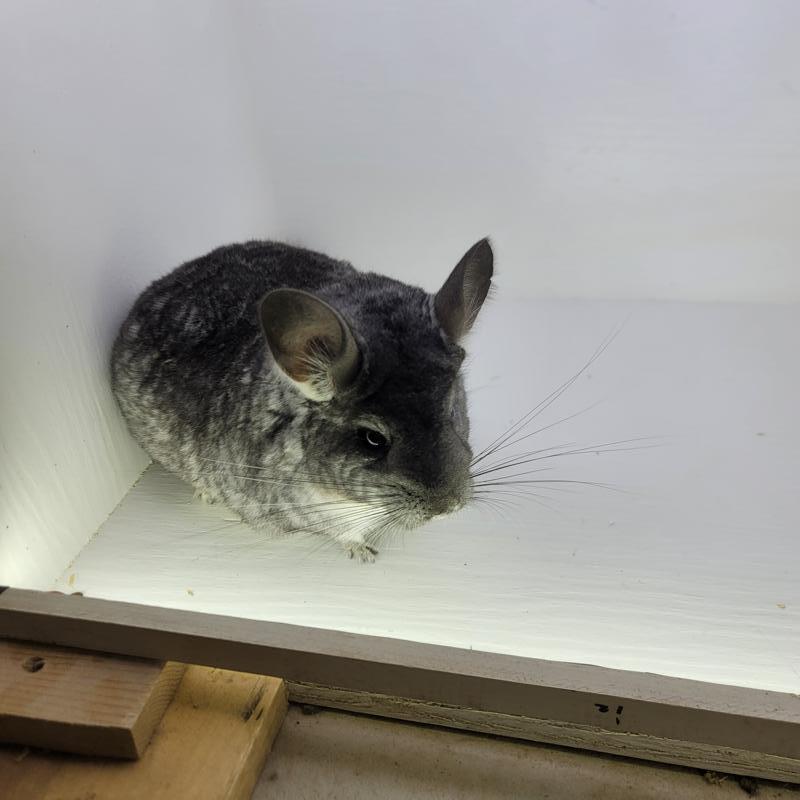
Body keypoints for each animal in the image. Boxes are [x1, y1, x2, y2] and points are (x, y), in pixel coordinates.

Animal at [111, 238, 493, 561]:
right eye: (372, 439)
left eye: (452, 410)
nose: (446, 507)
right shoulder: (317, 514)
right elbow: (346, 533)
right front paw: (365, 554)